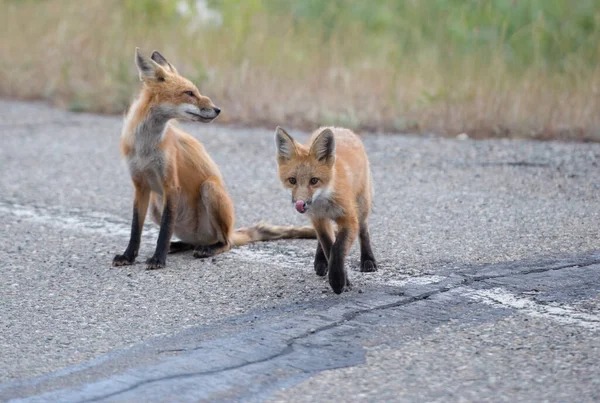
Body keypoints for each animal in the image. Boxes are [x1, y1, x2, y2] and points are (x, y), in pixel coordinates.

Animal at [114, 49, 316, 272]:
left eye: (196, 91)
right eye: (189, 93)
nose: (218, 109)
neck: (146, 147)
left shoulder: (171, 184)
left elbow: (164, 231)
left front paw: (158, 258)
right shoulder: (140, 185)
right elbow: (136, 228)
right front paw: (128, 256)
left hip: (209, 189)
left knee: (224, 243)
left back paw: (207, 249)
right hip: (155, 205)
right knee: (192, 241)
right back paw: (181, 245)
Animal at [276, 126, 378, 294]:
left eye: (314, 180)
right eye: (292, 180)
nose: (300, 203)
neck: (325, 201)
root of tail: (339, 128)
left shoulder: (349, 218)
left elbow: (338, 247)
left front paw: (337, 280)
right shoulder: (318, 218)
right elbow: (328, 246)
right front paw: (341, 278)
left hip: (363, 206)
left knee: (364, 232)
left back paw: (368, 260)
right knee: (321, 241)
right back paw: (320, 262)